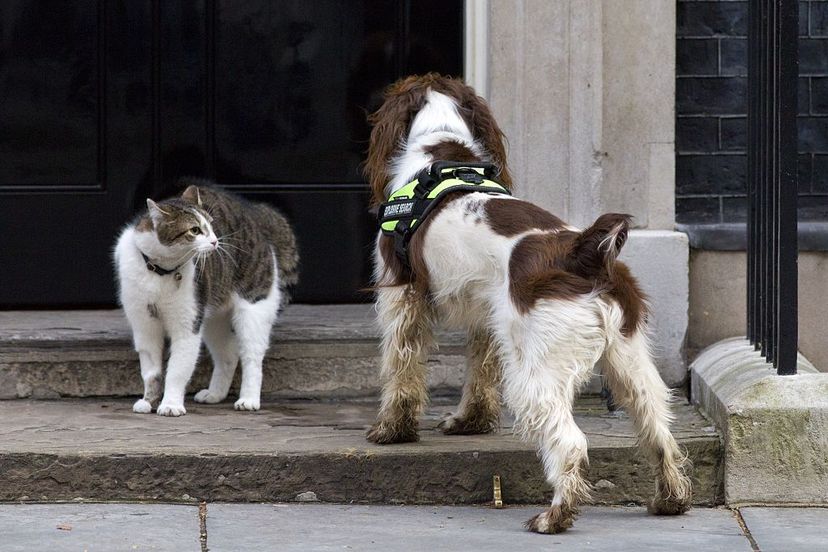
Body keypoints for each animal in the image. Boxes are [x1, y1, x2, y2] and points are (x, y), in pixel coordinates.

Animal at [114, 183, 298, 416]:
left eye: (210, 226)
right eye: (194, 230)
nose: (215, 241)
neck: (160, 271)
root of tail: (253, 212)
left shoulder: (187, 326)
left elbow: (177, 370)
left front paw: (171, 404)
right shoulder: (144, 325)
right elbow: (150, 371)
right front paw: (148, 401)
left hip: (253, 310)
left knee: (252, 358)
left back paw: (248, 399)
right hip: (214, 320)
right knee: (228, 357)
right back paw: (215, 394)